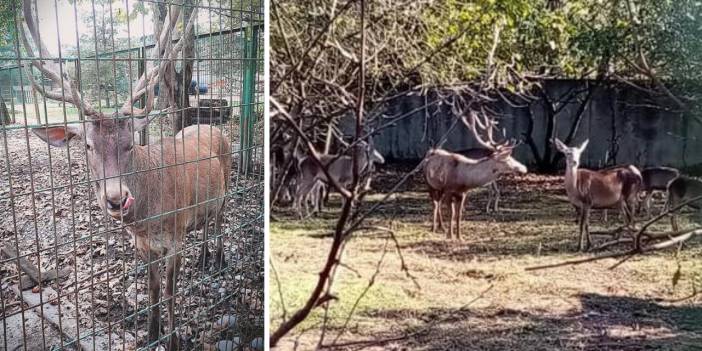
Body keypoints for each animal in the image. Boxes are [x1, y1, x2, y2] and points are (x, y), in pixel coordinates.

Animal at [0, 0, 264, 351]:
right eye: (87, 145)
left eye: (129, 144)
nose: (116, 198)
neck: (147, 218)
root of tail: (214, 127)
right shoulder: (143, 244)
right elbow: (151, 291)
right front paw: (151, 335)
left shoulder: (174, 236)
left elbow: (170, 293)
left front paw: (173, 339)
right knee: (206, 222)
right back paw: (204, 257)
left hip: (227, 183)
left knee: (221, 219)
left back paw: (219, 260)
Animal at [424, 111, 528, 241]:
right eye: (507, 159)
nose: (524, 168)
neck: (462, 179)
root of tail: (430, 152)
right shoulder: (448, 189)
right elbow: (451, 214)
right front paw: (450, 236)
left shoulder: (462, 193)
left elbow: (459, 215)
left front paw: (459, 236)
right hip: (429, 184)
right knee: (435, 204)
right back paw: (434, 228)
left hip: (440, 189)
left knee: (438, 203)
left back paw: (441, 227)